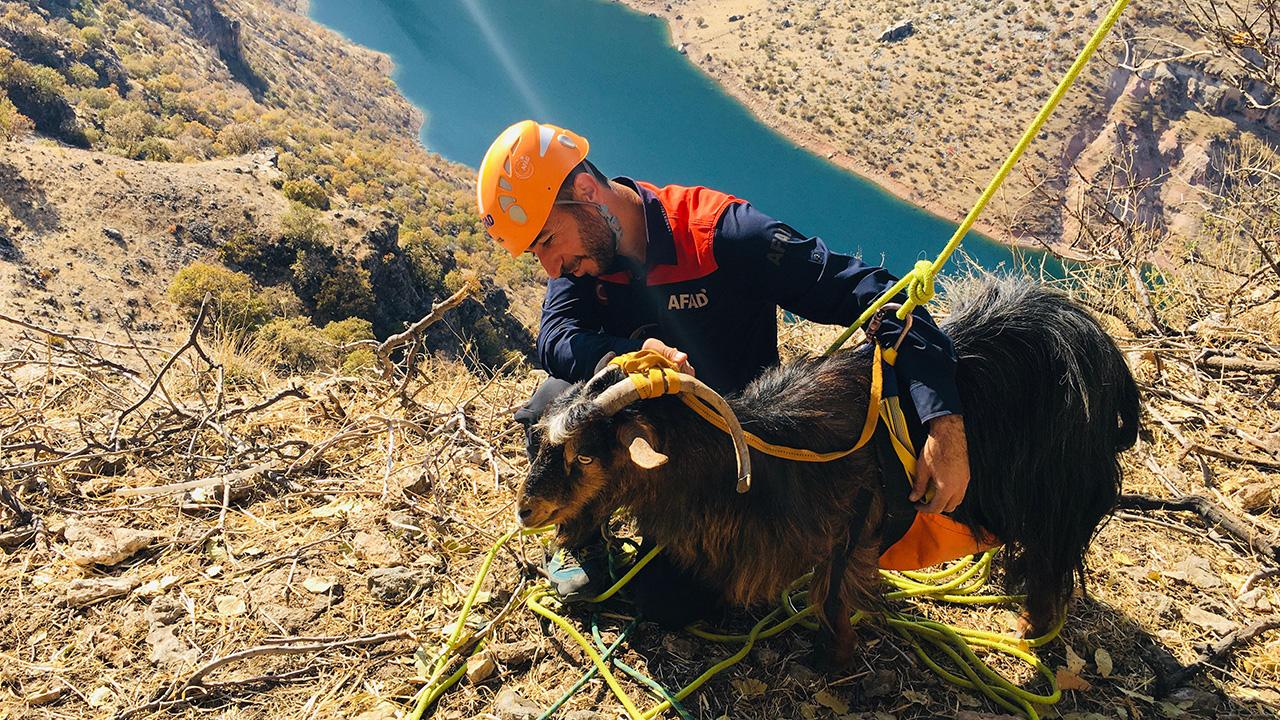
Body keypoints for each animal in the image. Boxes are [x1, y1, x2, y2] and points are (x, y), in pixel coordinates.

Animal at [517, 279, 1141, 661]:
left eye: (587, 454)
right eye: (545, 440)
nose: (526, 511)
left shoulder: (856, 527)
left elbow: (835, 597)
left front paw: (832, 661)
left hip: (1060, 499)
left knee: (1051, 562)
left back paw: (1032, 625)